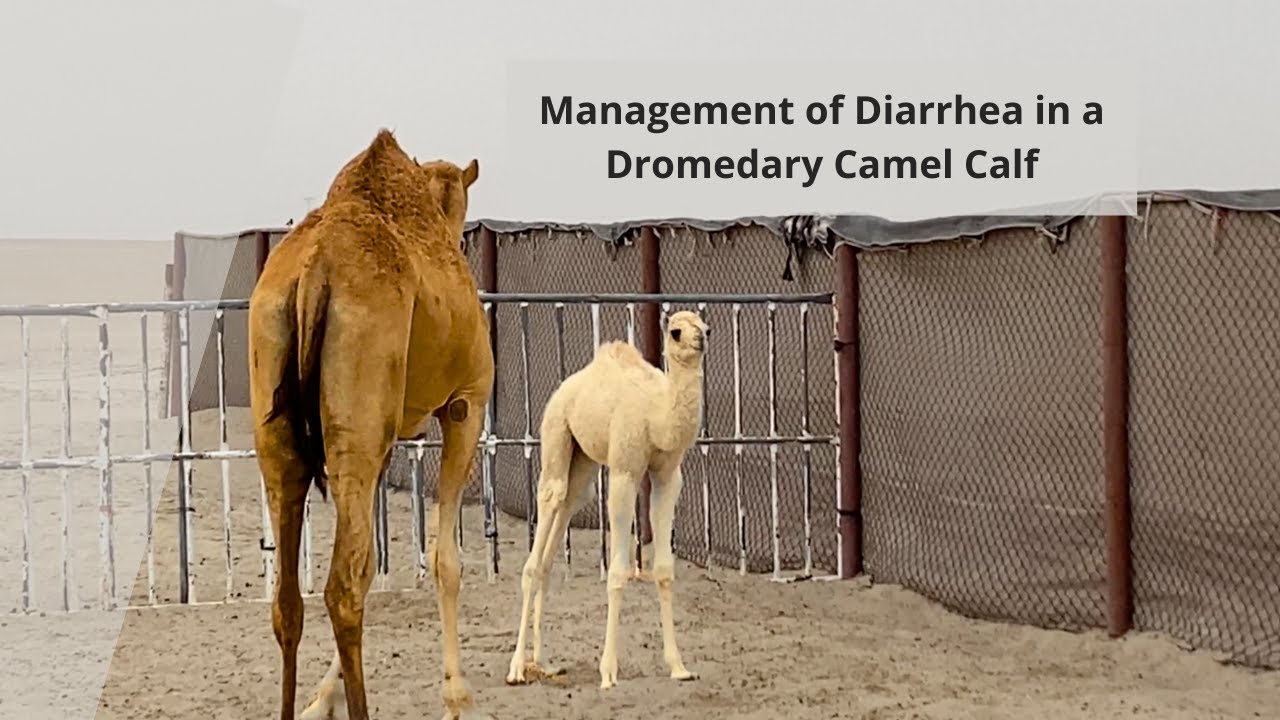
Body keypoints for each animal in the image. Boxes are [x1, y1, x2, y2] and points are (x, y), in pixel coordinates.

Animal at [248, 128, 494, 720]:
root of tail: (314, 270)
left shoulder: (386, 433)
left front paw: (321, 699)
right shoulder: (465, 404)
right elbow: (444, 558)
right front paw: (457, 695)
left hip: (292, 423)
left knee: (291, 595)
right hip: (364, 405)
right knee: (343, 586)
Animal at [505, 310, 709, 690]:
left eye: (705, 326)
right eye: (675, 332)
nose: (700, 340)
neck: (656, 415)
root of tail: (566, 387)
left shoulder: (667, 475)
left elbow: (663, 569)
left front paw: (678, 666)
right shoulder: (624, 473)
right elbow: (617, 572)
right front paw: (608, 672)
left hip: (583, 463)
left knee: (563, 518)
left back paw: (544, 662)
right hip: (556, 433)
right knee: (547, 510)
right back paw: (516, 669)